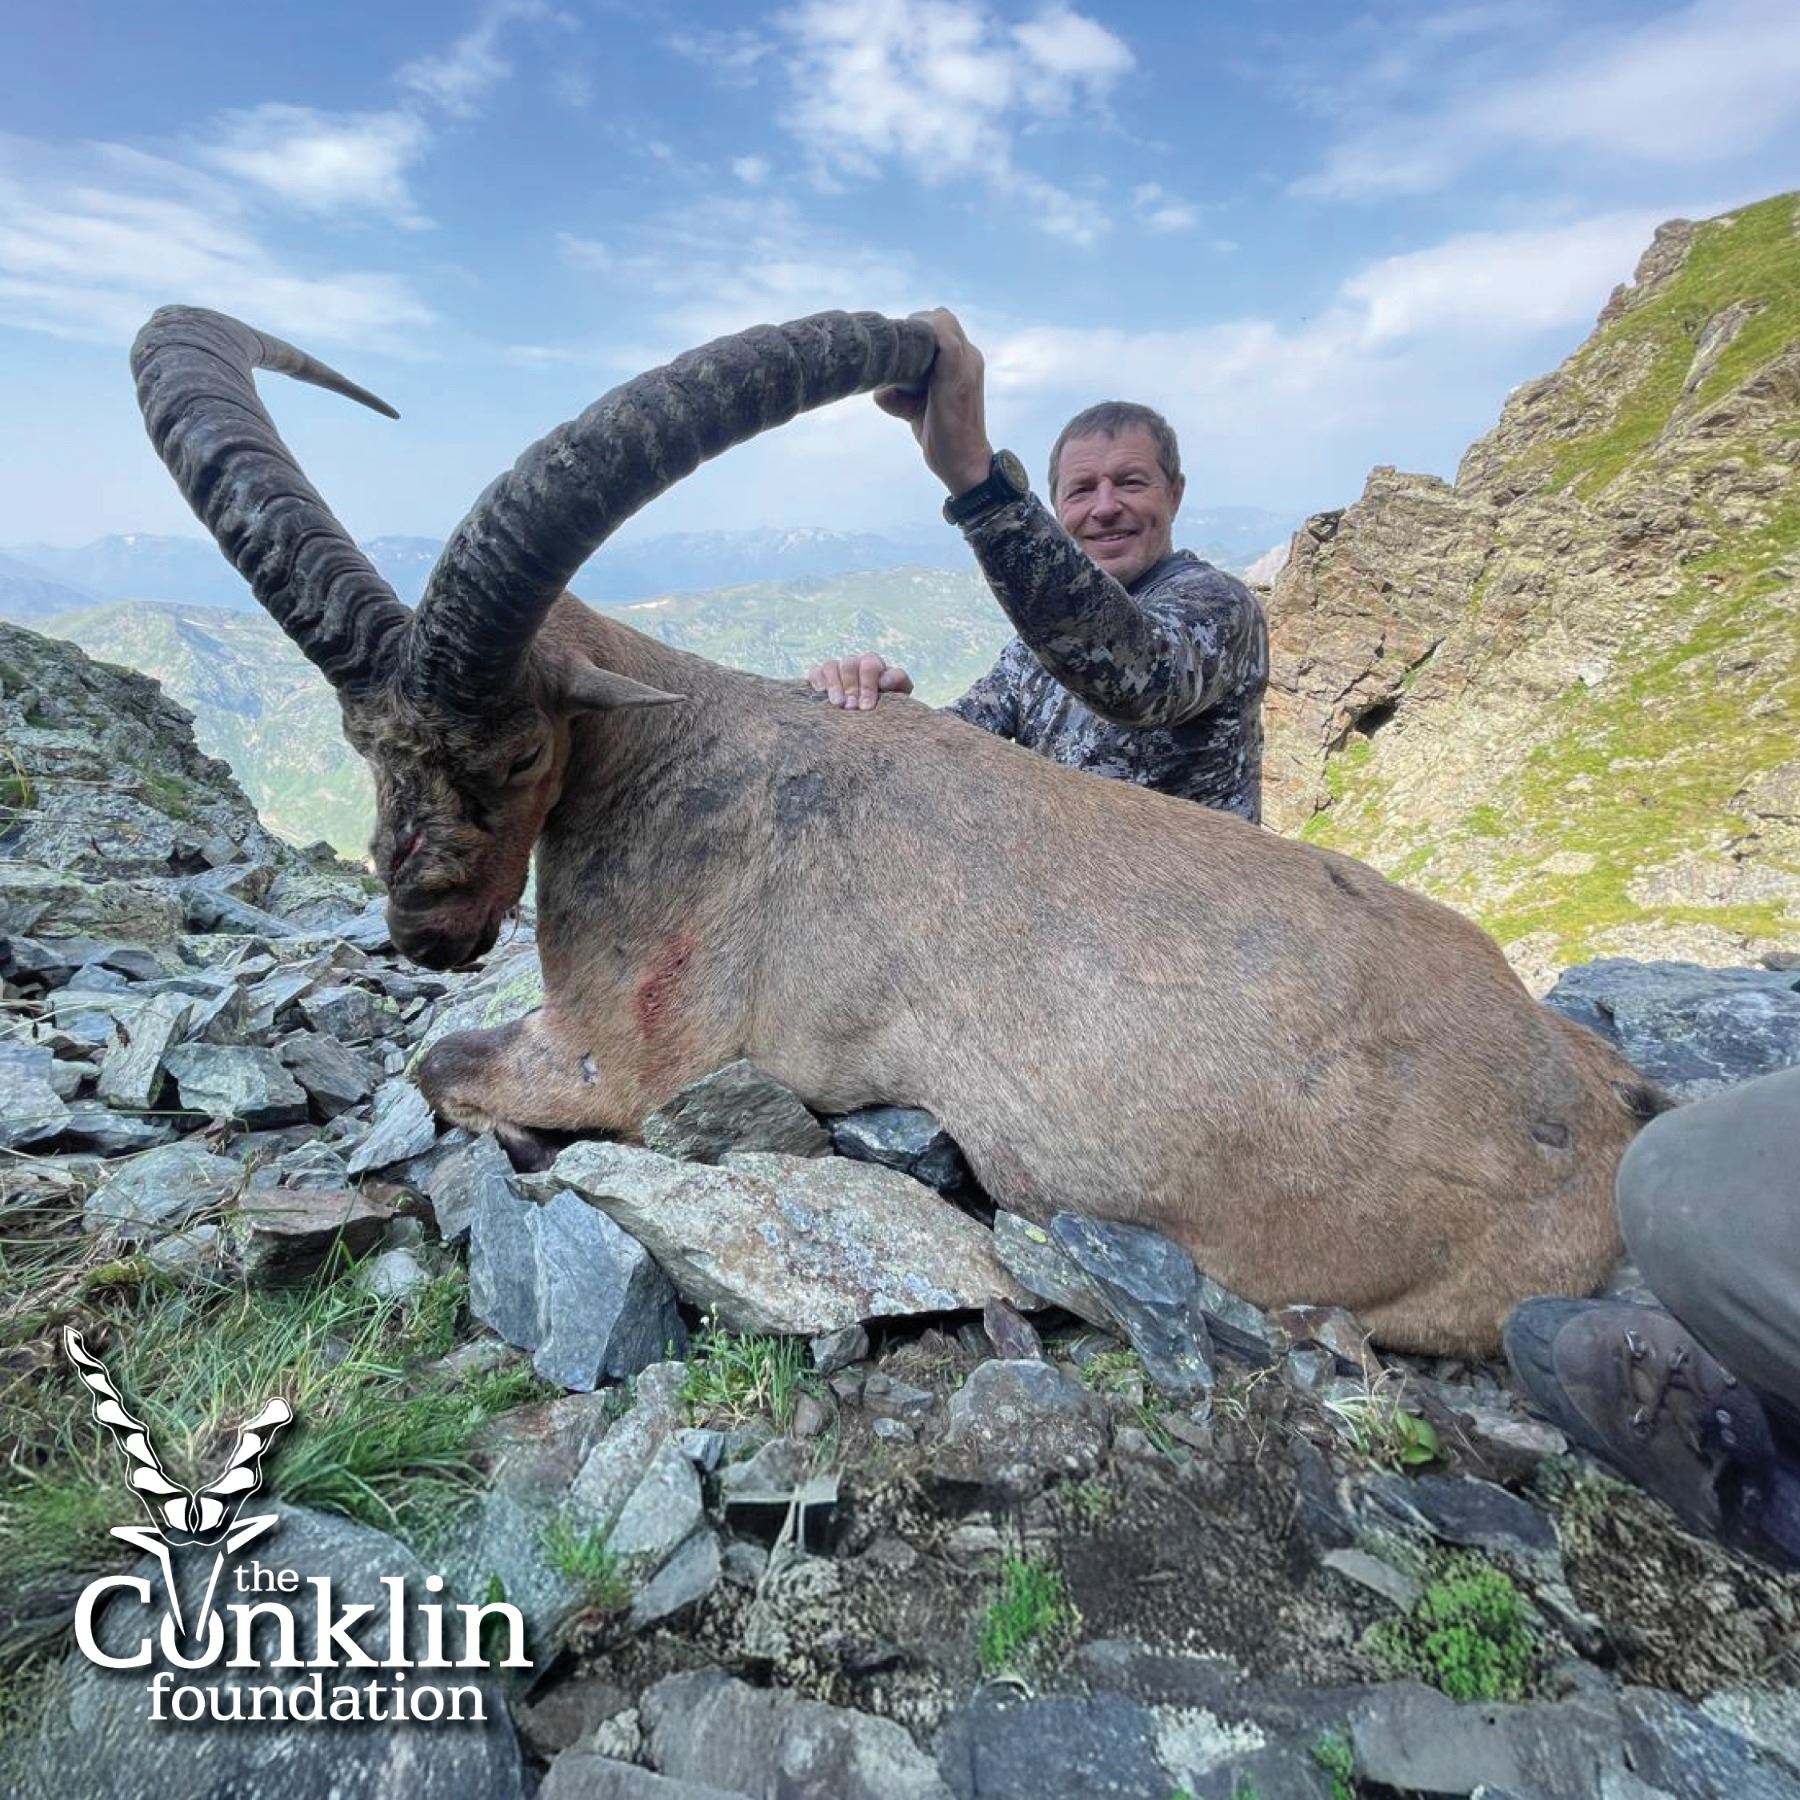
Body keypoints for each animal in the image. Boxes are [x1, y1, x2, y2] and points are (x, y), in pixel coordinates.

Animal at [131, 306, 1658, 1356]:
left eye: (514, 748)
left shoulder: (631, 1060)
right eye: (359, 744)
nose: (428, 925)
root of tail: (1599, 1111)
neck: (687, 764)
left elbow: (452, 1067)